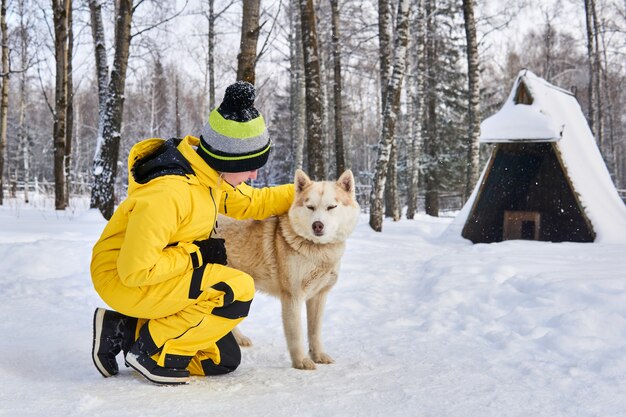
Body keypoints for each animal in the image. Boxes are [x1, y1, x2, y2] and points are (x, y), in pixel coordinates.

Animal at [216, 167, 358, 368]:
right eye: (310, 207)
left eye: (331, 207)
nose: (317, 225)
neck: (317, 251)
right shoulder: (293, 296)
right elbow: (296, 334)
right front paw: (301, 362)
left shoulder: (318, 296)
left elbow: (314, 332)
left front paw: (318, 355)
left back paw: (240, 339)